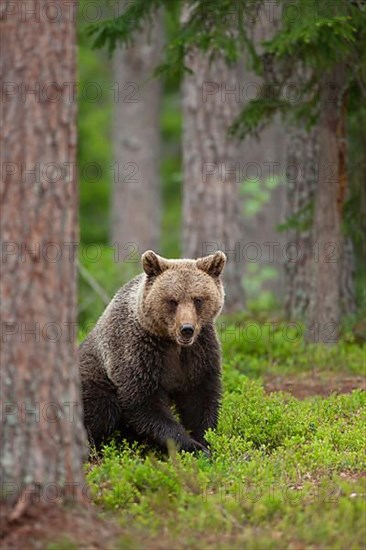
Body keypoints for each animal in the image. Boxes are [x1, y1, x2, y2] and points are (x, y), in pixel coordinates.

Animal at [78, 250, 226, 458]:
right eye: (172, 300)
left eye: (198, 299)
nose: (186, 329)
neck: (171, 343)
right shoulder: (138, 352)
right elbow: (143, 402)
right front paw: (193, 446)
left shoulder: (199, 352)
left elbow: (200, 396)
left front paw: (205, 440)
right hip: (93, 380)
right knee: (102, 408)